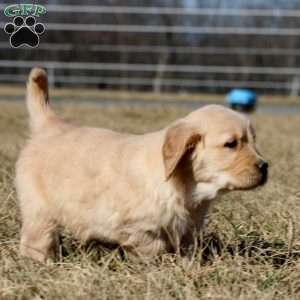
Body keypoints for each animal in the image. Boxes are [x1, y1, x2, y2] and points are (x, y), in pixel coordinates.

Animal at [15, 68, 268, 262]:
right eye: (231, 144)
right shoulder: (139, 228)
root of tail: (50, 125)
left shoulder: (187, 228)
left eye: (254, 141)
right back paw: (41, 263)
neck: (188, 188)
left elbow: (186, 249)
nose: (265, 167)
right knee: (35, 240)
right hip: (39, 210)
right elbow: (152, 251)